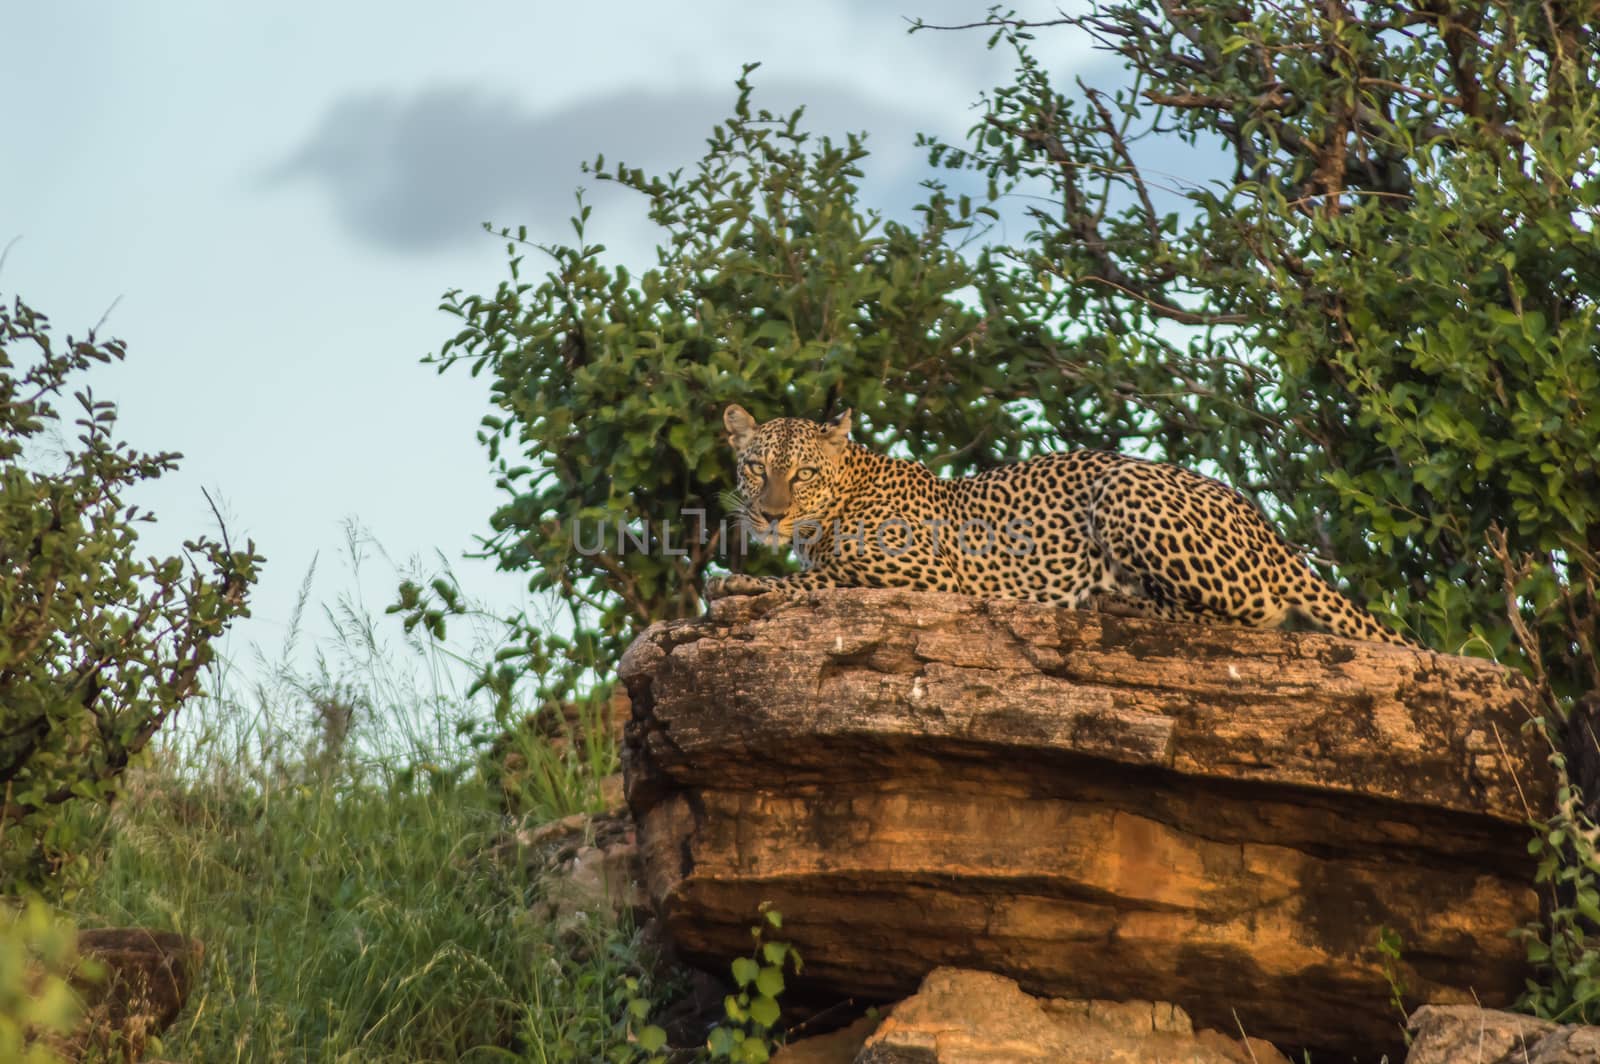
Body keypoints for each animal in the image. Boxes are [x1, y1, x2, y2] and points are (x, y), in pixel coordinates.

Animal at [704, 403, 1414, 643]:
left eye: (802, 474)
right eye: (756, 467)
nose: (770, 515)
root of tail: (1265, 523)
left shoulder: (925, 575)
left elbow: (821, 579)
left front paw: (737, 585)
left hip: (1123, 489)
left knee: (1250, 614)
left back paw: (1116, 605)